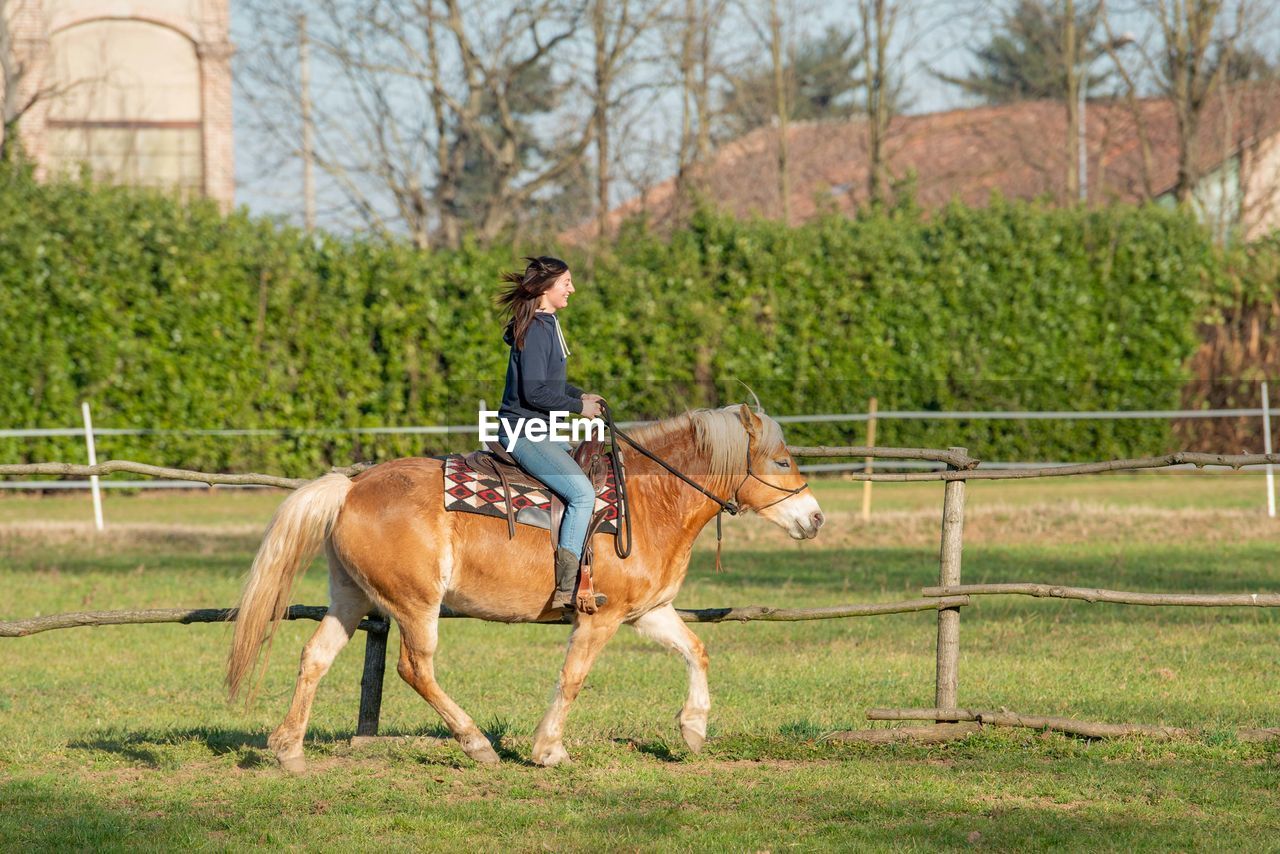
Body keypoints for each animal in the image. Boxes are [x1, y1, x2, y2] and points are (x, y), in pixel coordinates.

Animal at [225, 404, 824, 773]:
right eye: (779, 460)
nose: (815, 518)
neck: (648, 500)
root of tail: (350, 488)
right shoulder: (601, 617)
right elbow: (573, 678)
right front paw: (547, 749)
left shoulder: (649, 612)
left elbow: (696, 651)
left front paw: (694, 729)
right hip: (416, 604)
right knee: (415, 669)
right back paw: (476, 743)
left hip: (351, 597)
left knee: (315, 657)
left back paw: (289, 750)